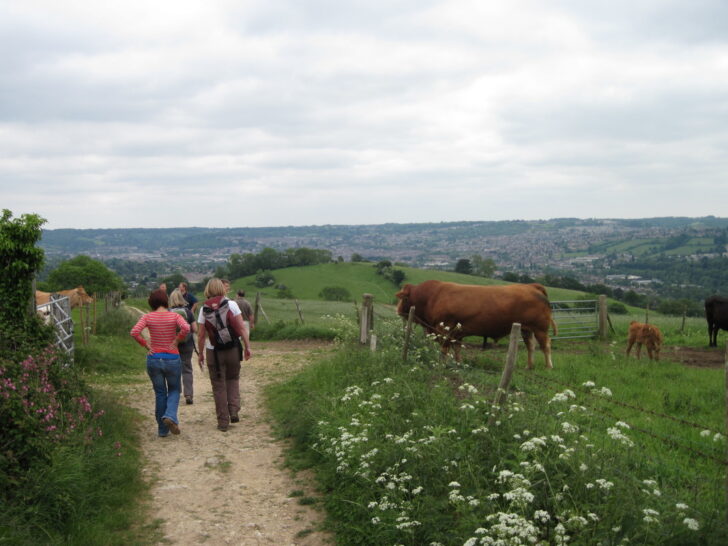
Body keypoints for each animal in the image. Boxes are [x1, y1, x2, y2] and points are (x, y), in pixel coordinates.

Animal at [396, 280, 556, 366]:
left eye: (403, 298)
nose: (398, 310)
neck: (432, 296)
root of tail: (531, 286)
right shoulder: (457, 333)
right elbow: (457, 348)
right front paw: (458, 363)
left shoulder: (445, 329)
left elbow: (444, 349)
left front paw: (443, 363)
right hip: (526, 329)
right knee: (531, 346)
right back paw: (529, 366)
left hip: (540, 329)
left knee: (546, 346)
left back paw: (548, 366)